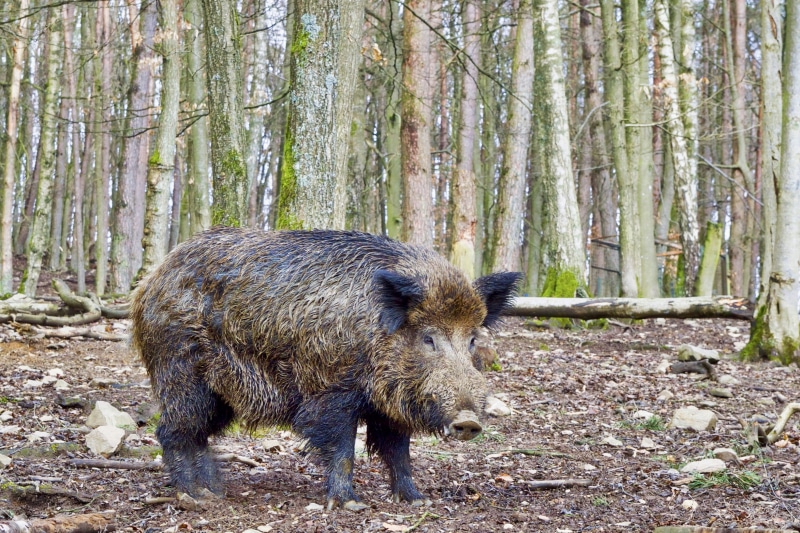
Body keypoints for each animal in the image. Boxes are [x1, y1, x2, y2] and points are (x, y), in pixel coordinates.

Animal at [130, 227, 521, 510]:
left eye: (472, 339)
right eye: (428, 338)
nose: (469, 421)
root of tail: (150, 281)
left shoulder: (388, 406)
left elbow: (399, 451)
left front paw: (416, 500)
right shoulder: (332, 392)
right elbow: (343, 449)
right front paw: (350, 505)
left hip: (218, 395)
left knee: (198, 434)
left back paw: (213, 491)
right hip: (181, 372)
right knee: (172, 430)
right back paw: (193, 497)